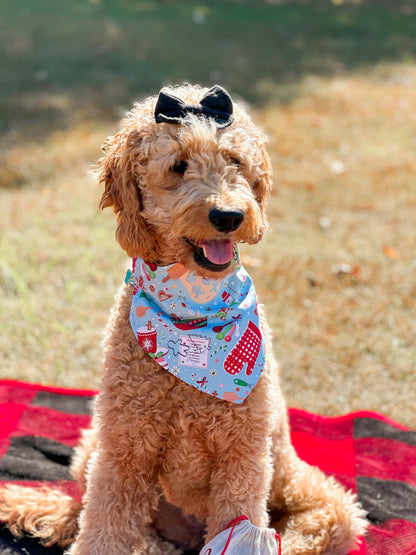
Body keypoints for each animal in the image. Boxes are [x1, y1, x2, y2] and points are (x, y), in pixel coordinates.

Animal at [0, 84, 364, 552]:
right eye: (178, 166)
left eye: (235, 161)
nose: (229, 216)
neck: (193, 311)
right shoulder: (124, 449)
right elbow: (104, 529)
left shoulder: (243, 456)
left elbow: (240, 516)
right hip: (92, 450)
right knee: (104, 519)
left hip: (304, 487)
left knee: (324, 520)